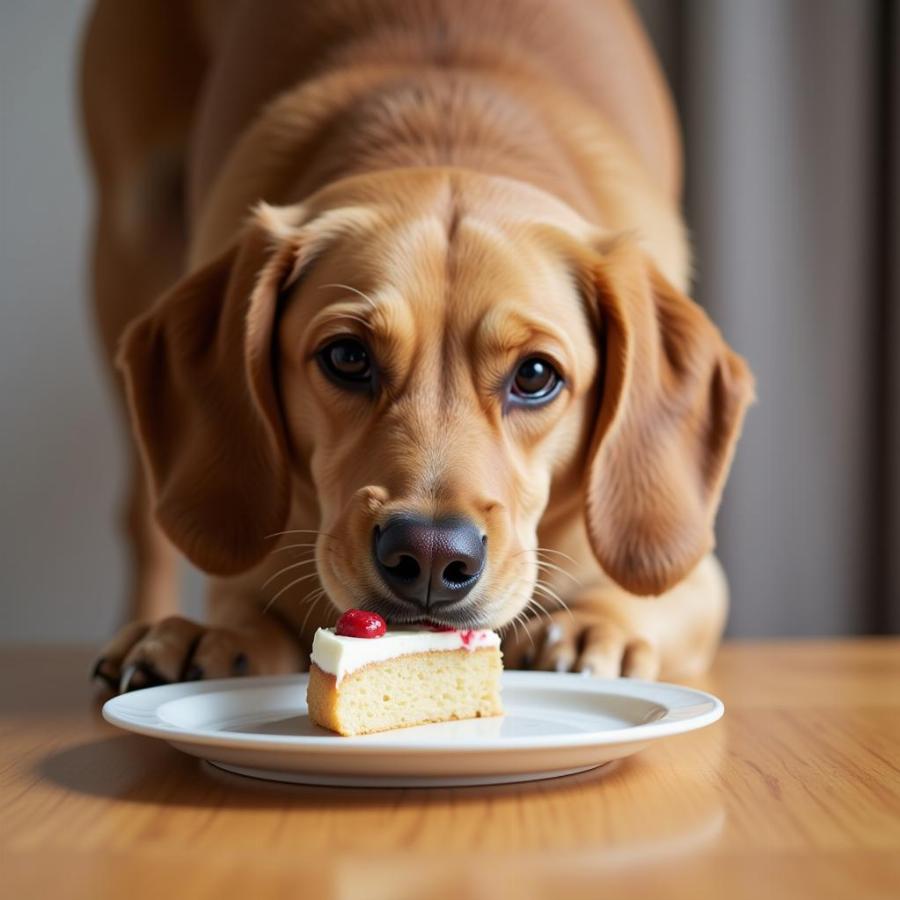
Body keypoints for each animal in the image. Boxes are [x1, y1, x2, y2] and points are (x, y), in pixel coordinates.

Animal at [81, 0, 752, 692]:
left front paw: (596, 628)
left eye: (536, 375)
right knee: (143, 524)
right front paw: (211, 635)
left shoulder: (695, 573)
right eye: (348, 357)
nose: (430, 557)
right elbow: (244, 602)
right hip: (130, 238)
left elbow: (641, 597)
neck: (450, 128)